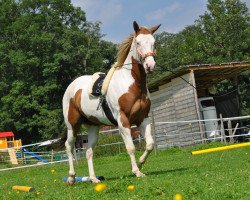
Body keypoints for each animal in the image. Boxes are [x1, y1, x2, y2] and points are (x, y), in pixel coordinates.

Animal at [61, 21, 161, 185]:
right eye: (138, 42)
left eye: (154, 42)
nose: (150, 65)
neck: (132, 84)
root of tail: (71, 87)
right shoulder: (123, 121)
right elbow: (130, 147)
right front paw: (136, 172)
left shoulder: (143, 119)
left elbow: (150, 144)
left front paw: (140, 163)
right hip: (72, 125)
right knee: (69, 147)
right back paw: (71, 178)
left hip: (93, 127)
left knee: (89, 151)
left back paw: (94, 178)